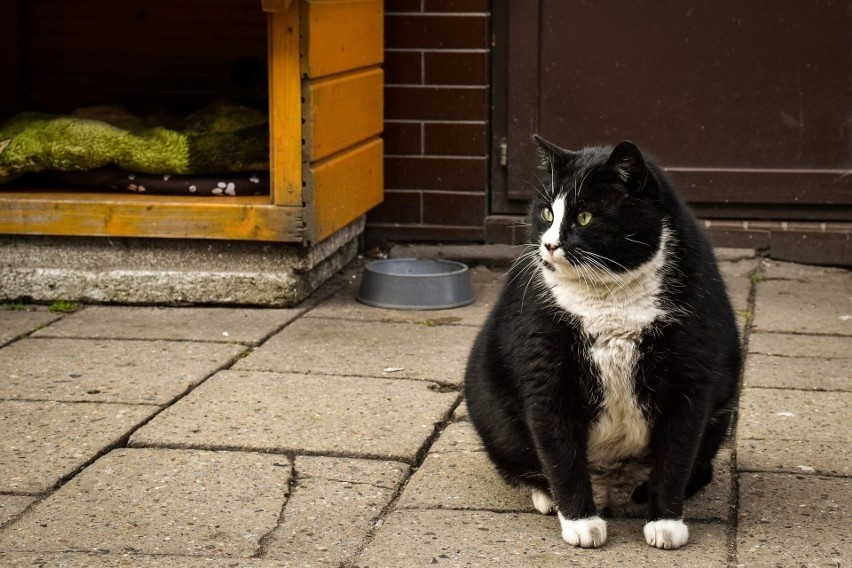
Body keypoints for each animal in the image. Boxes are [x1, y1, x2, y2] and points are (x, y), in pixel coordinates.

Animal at [466, 136, 740, 552]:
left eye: (584, 217)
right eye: (546, 212)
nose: (549, 245)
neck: (610, 297)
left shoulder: (691, 378)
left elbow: (676, 454)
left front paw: (665, 523)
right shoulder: (544, 372)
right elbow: (560, 452)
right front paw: (581, 522)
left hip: (723, 410)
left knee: (701, 466)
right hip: (491, 412)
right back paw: (550, 497)